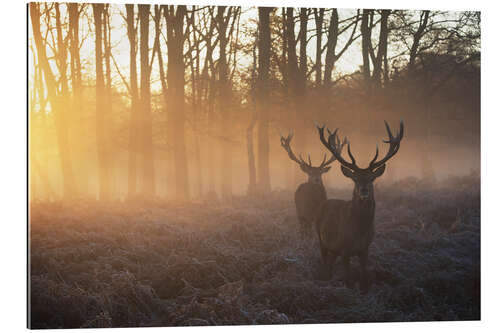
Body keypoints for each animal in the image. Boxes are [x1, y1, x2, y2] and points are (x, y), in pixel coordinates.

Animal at [316, 120, 402, 290]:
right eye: (355, 178)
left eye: (371, 178)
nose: (364, 190)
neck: (359, 231)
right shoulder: (344, 248)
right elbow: (348, 279)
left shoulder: (365, 248)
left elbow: (364, 277)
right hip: (321, 240)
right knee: (324, 263)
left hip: (333, 249)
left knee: (329, 265)